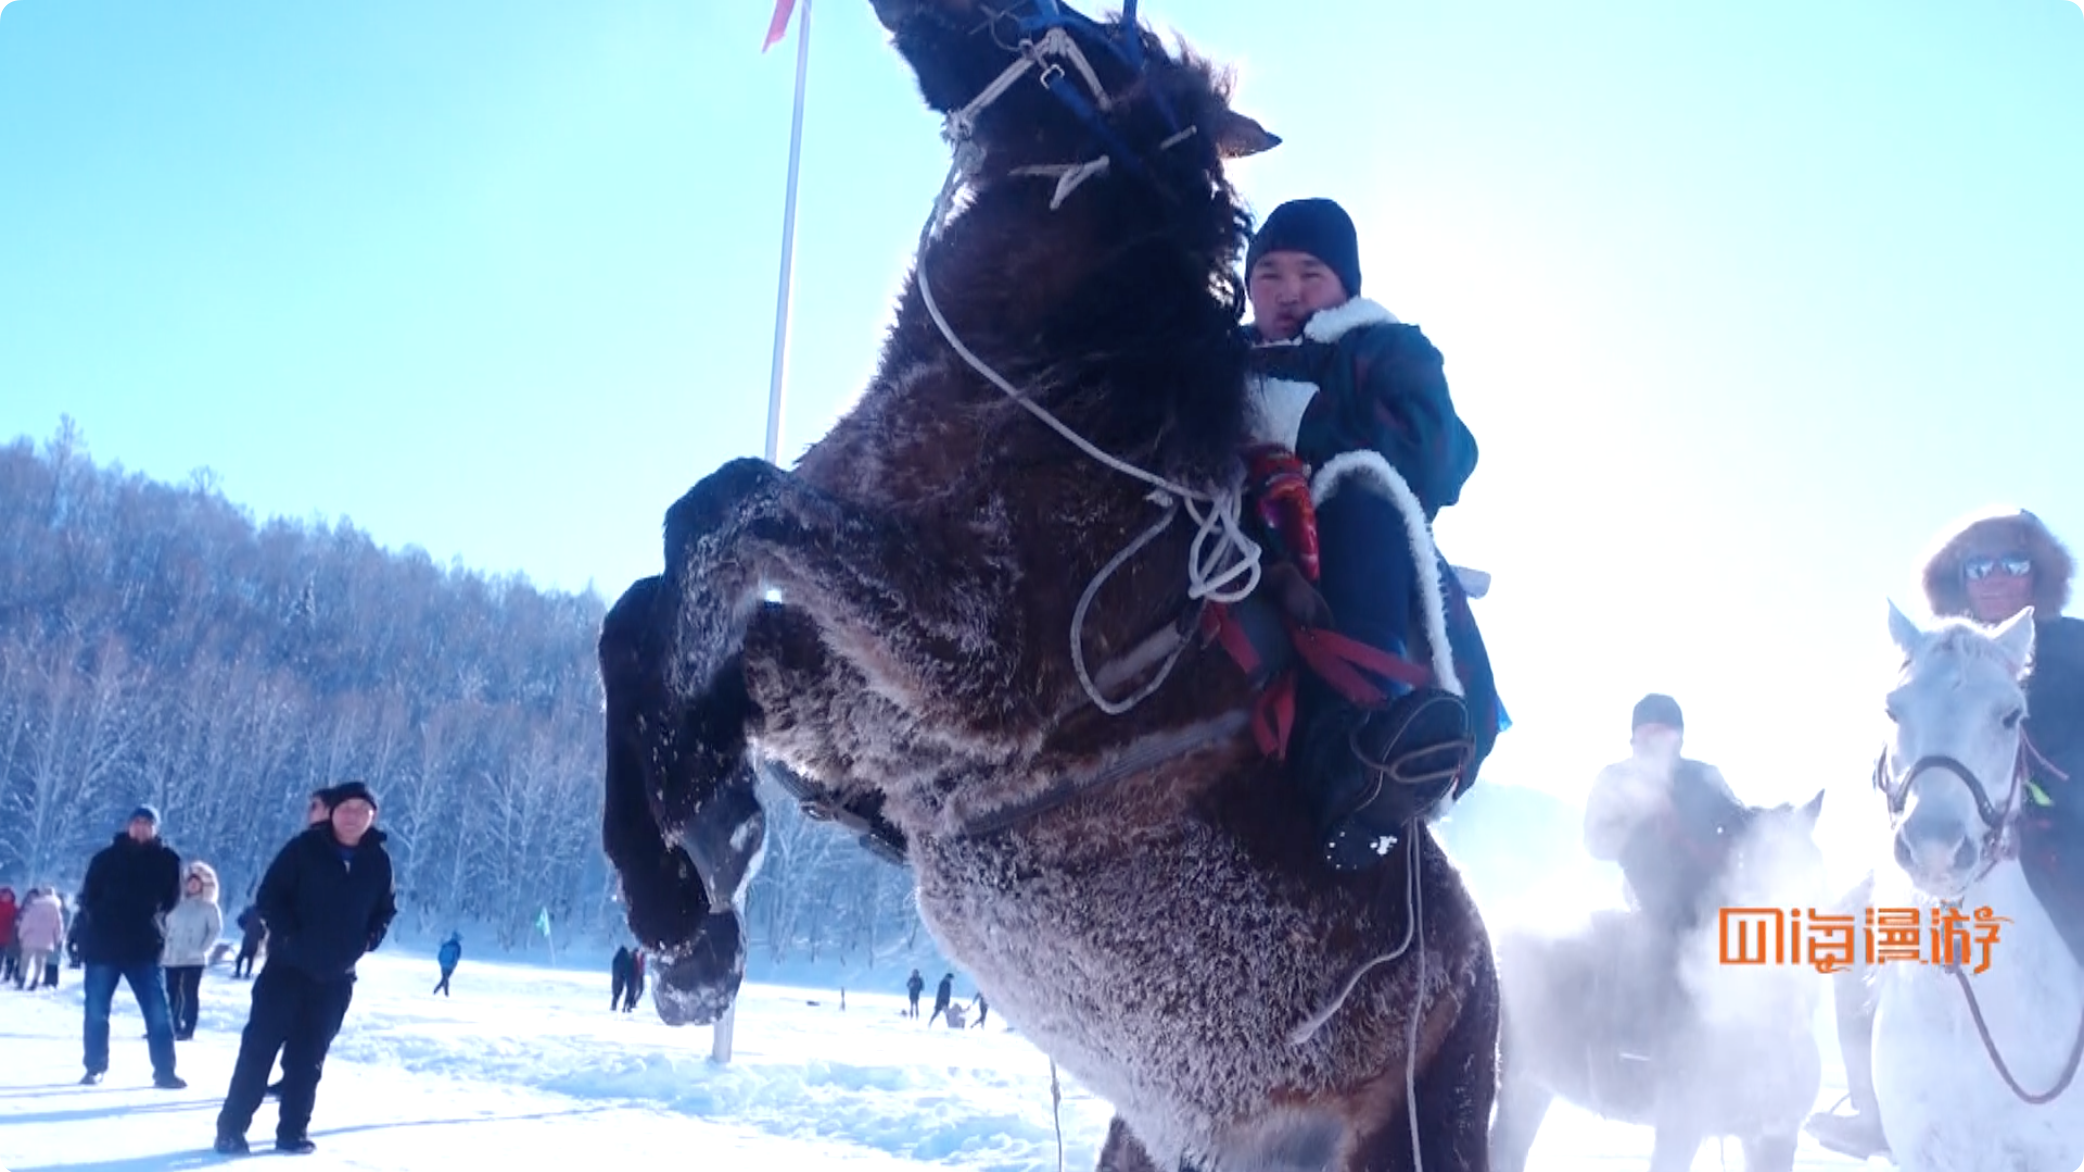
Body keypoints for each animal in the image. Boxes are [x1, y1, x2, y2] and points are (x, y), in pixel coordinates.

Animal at [600, 4, 1500, 1159]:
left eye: (1113, 44)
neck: (1041, 398)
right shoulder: (859, 700)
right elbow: (647, 619)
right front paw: (687, 896)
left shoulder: (976, 661)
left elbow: (728, 506)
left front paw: (697, 872)